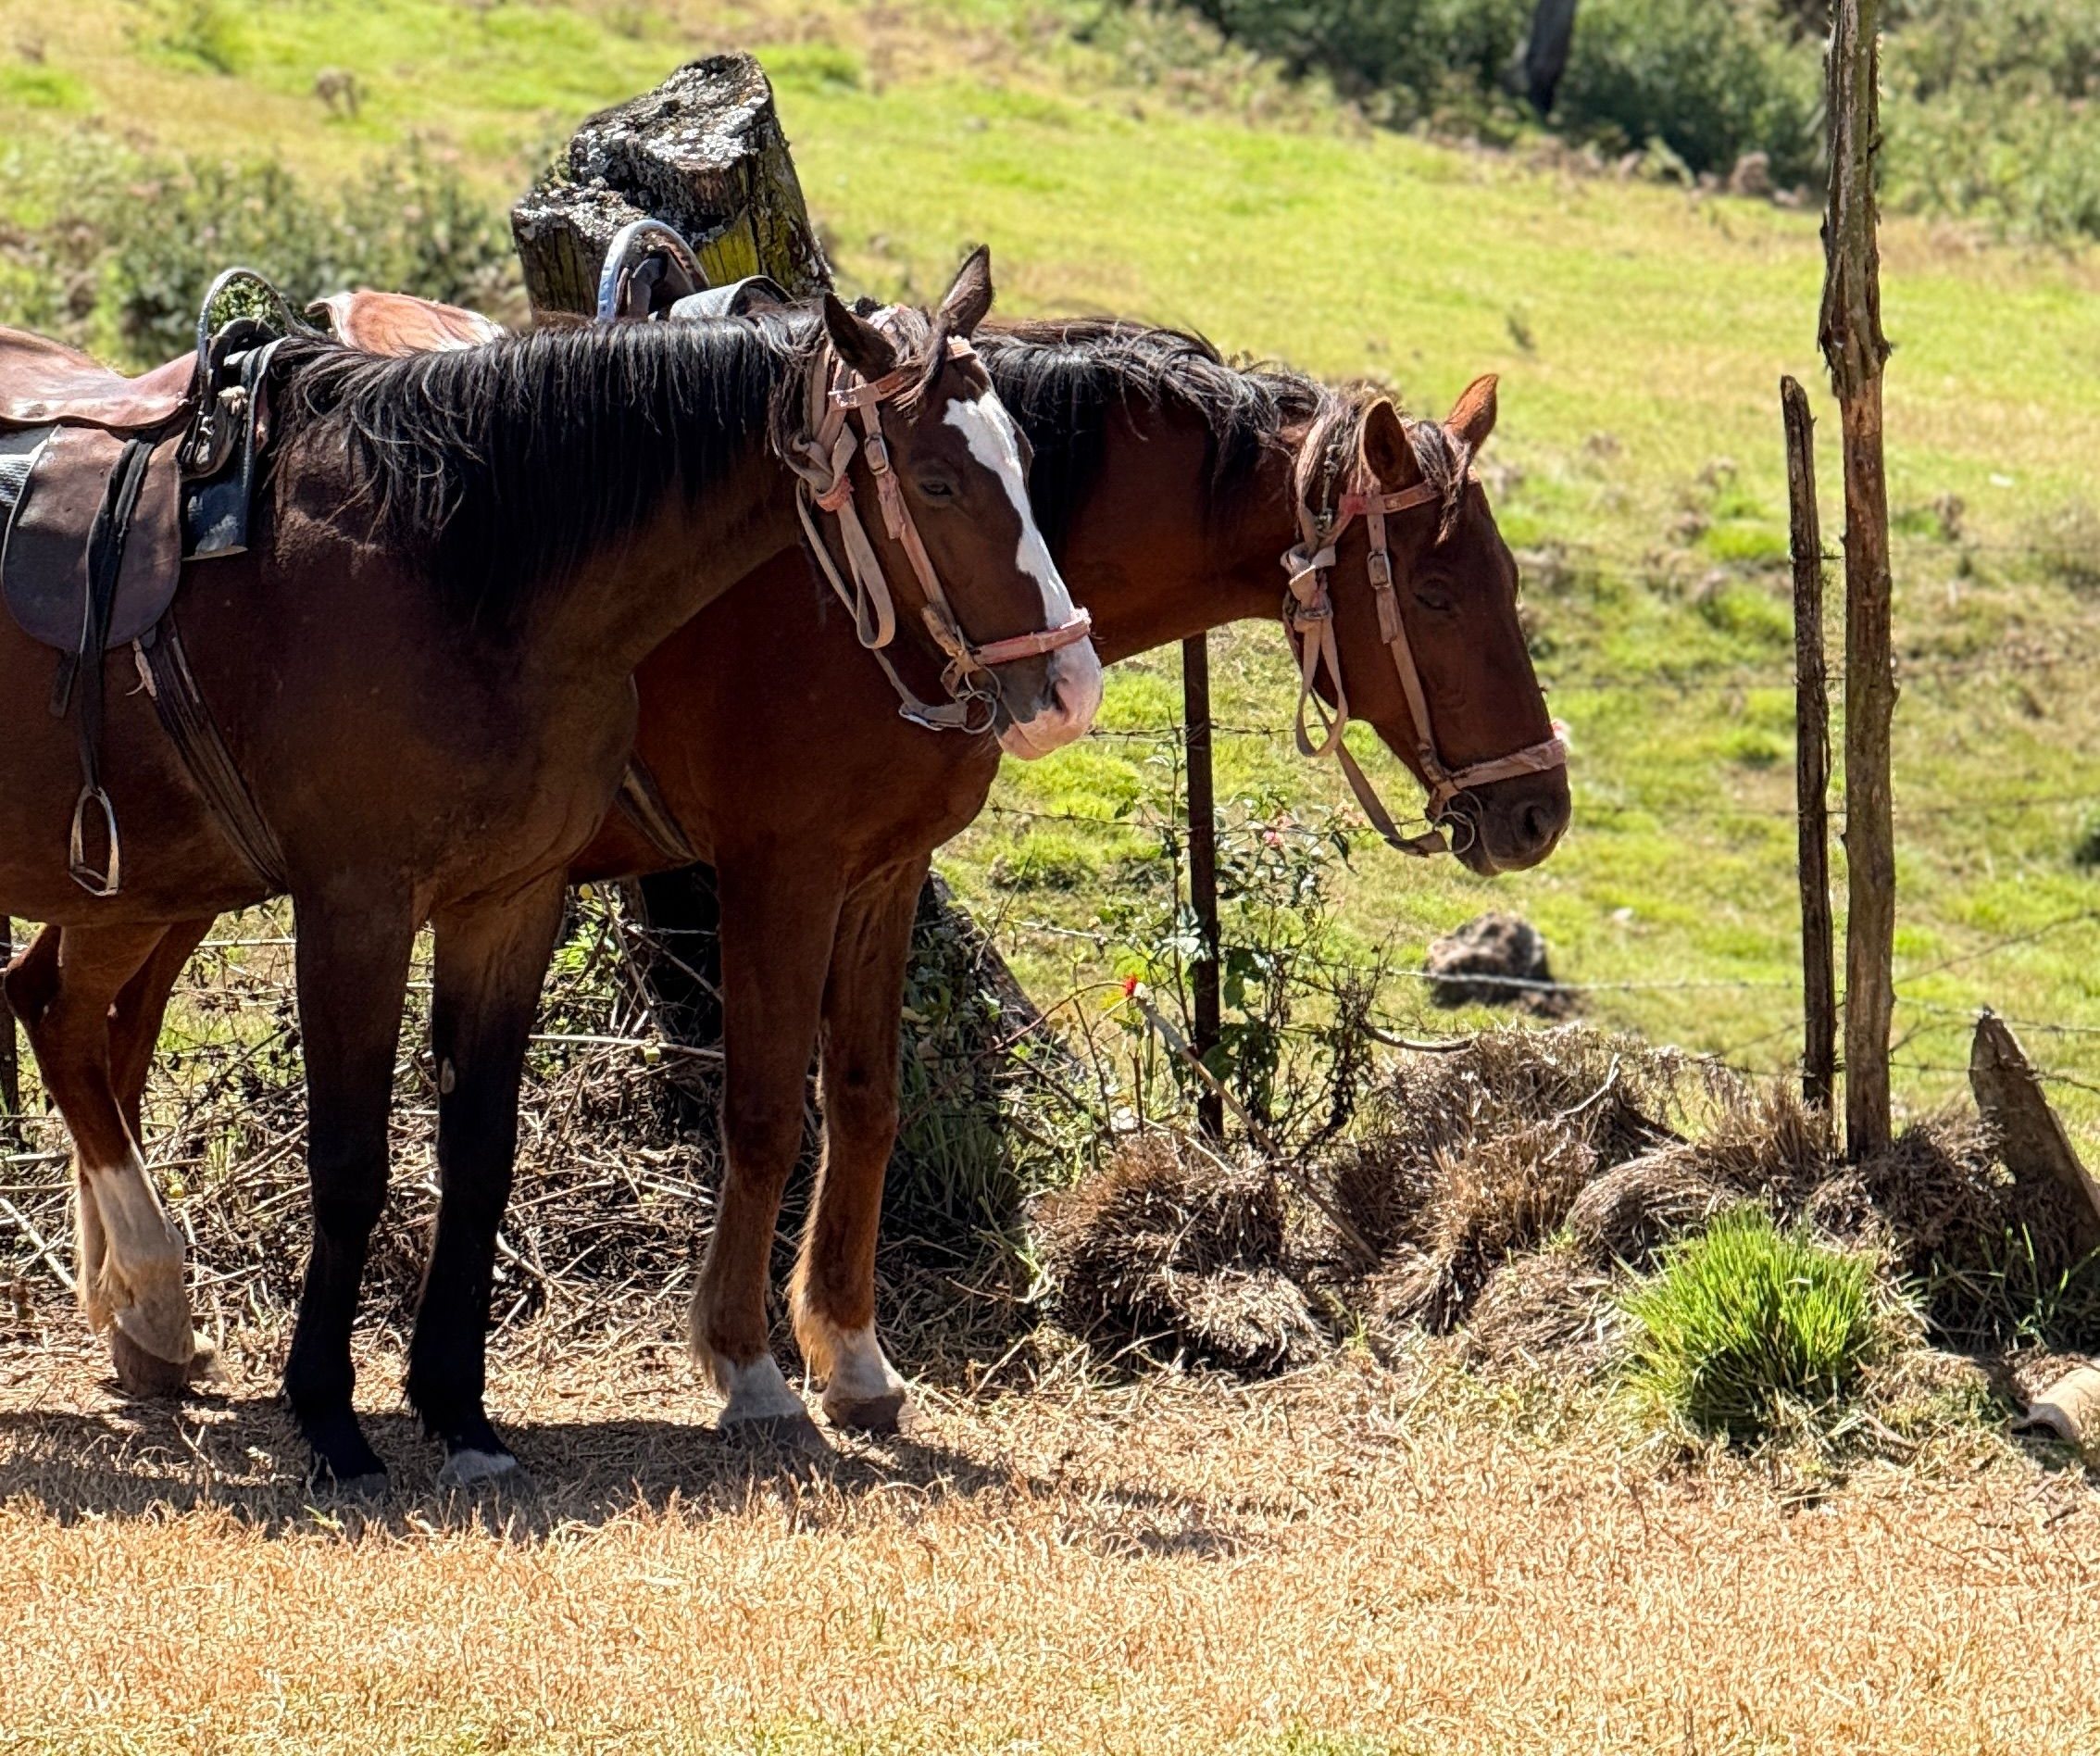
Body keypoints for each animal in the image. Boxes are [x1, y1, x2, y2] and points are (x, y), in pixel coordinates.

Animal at [0, 253, 1102, 1487]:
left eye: (1024, 461)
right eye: (939, 482)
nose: (1069, 689)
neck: (452, 567)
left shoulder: (511, 905)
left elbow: (482, 1152)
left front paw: (458, 1411)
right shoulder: (359, 907)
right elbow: (352, 1161)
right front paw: (331, 1415)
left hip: (144, 887)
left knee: (58, 1011)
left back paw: (147, 1309)